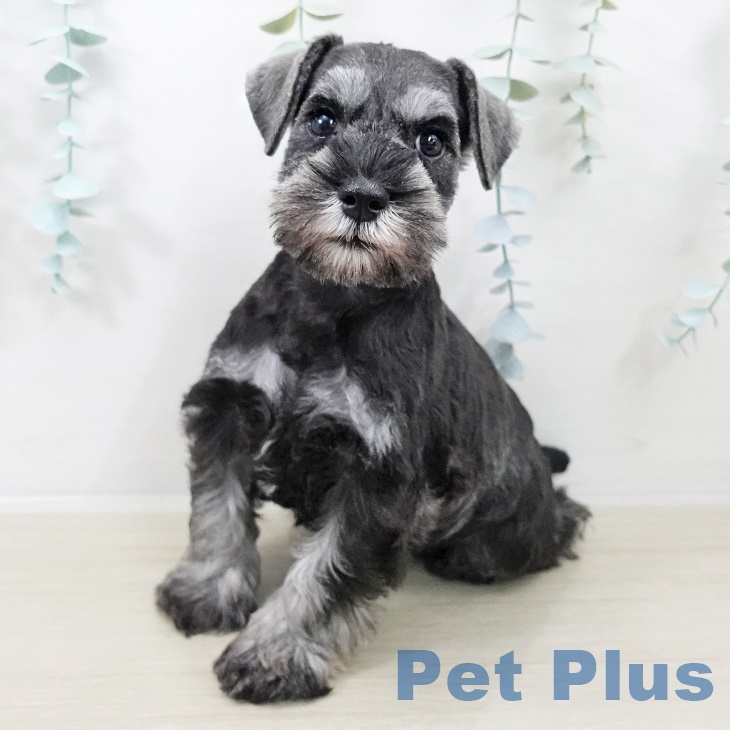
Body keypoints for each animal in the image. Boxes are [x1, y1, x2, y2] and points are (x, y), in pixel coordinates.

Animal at [155, 35, 590, 704]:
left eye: (433, 140)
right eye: (322, 119)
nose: (363, 196)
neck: (333, 300)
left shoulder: (376, 474)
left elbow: (325, 572)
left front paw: (275, 654)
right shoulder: (229, 407)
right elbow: (216, 511)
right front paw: (207, 590)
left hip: (504, 538)